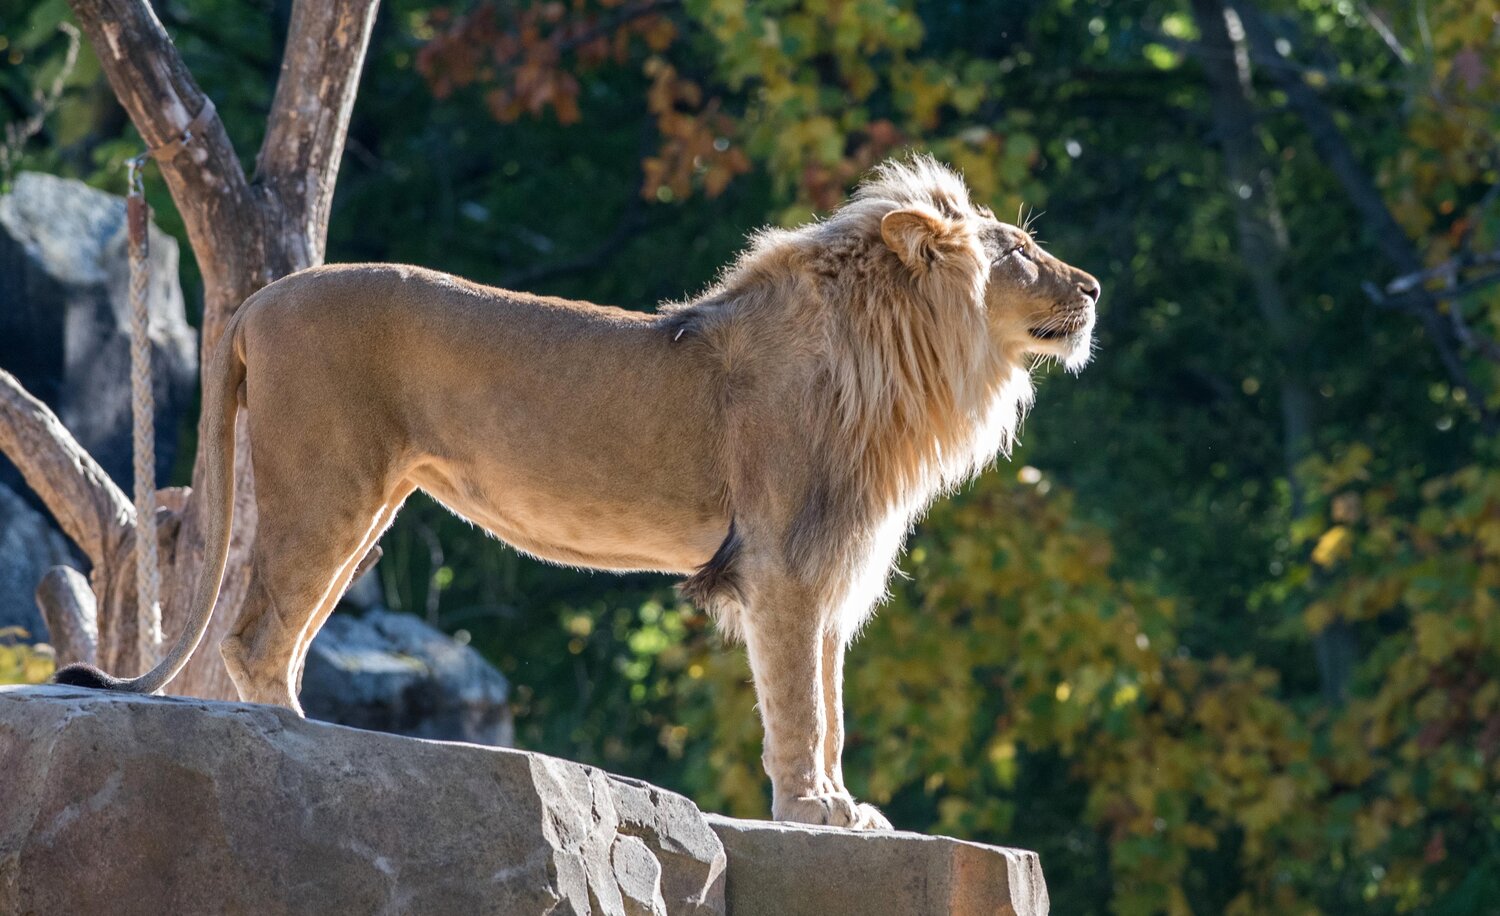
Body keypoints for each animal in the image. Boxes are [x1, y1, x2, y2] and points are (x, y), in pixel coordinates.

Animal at [55, 156, 1099, 829]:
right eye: (1017, 249)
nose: (1092, 287)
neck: (898, 363)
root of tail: (254, 303)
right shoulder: (785, 561)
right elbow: (799, 703)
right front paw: (811, 810)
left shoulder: (831, 560)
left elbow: (831, 701)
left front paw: (845, 805)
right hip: (325, 483)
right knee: (252, 633)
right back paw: (299, 748)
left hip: (367, 501)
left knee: (279, 628)